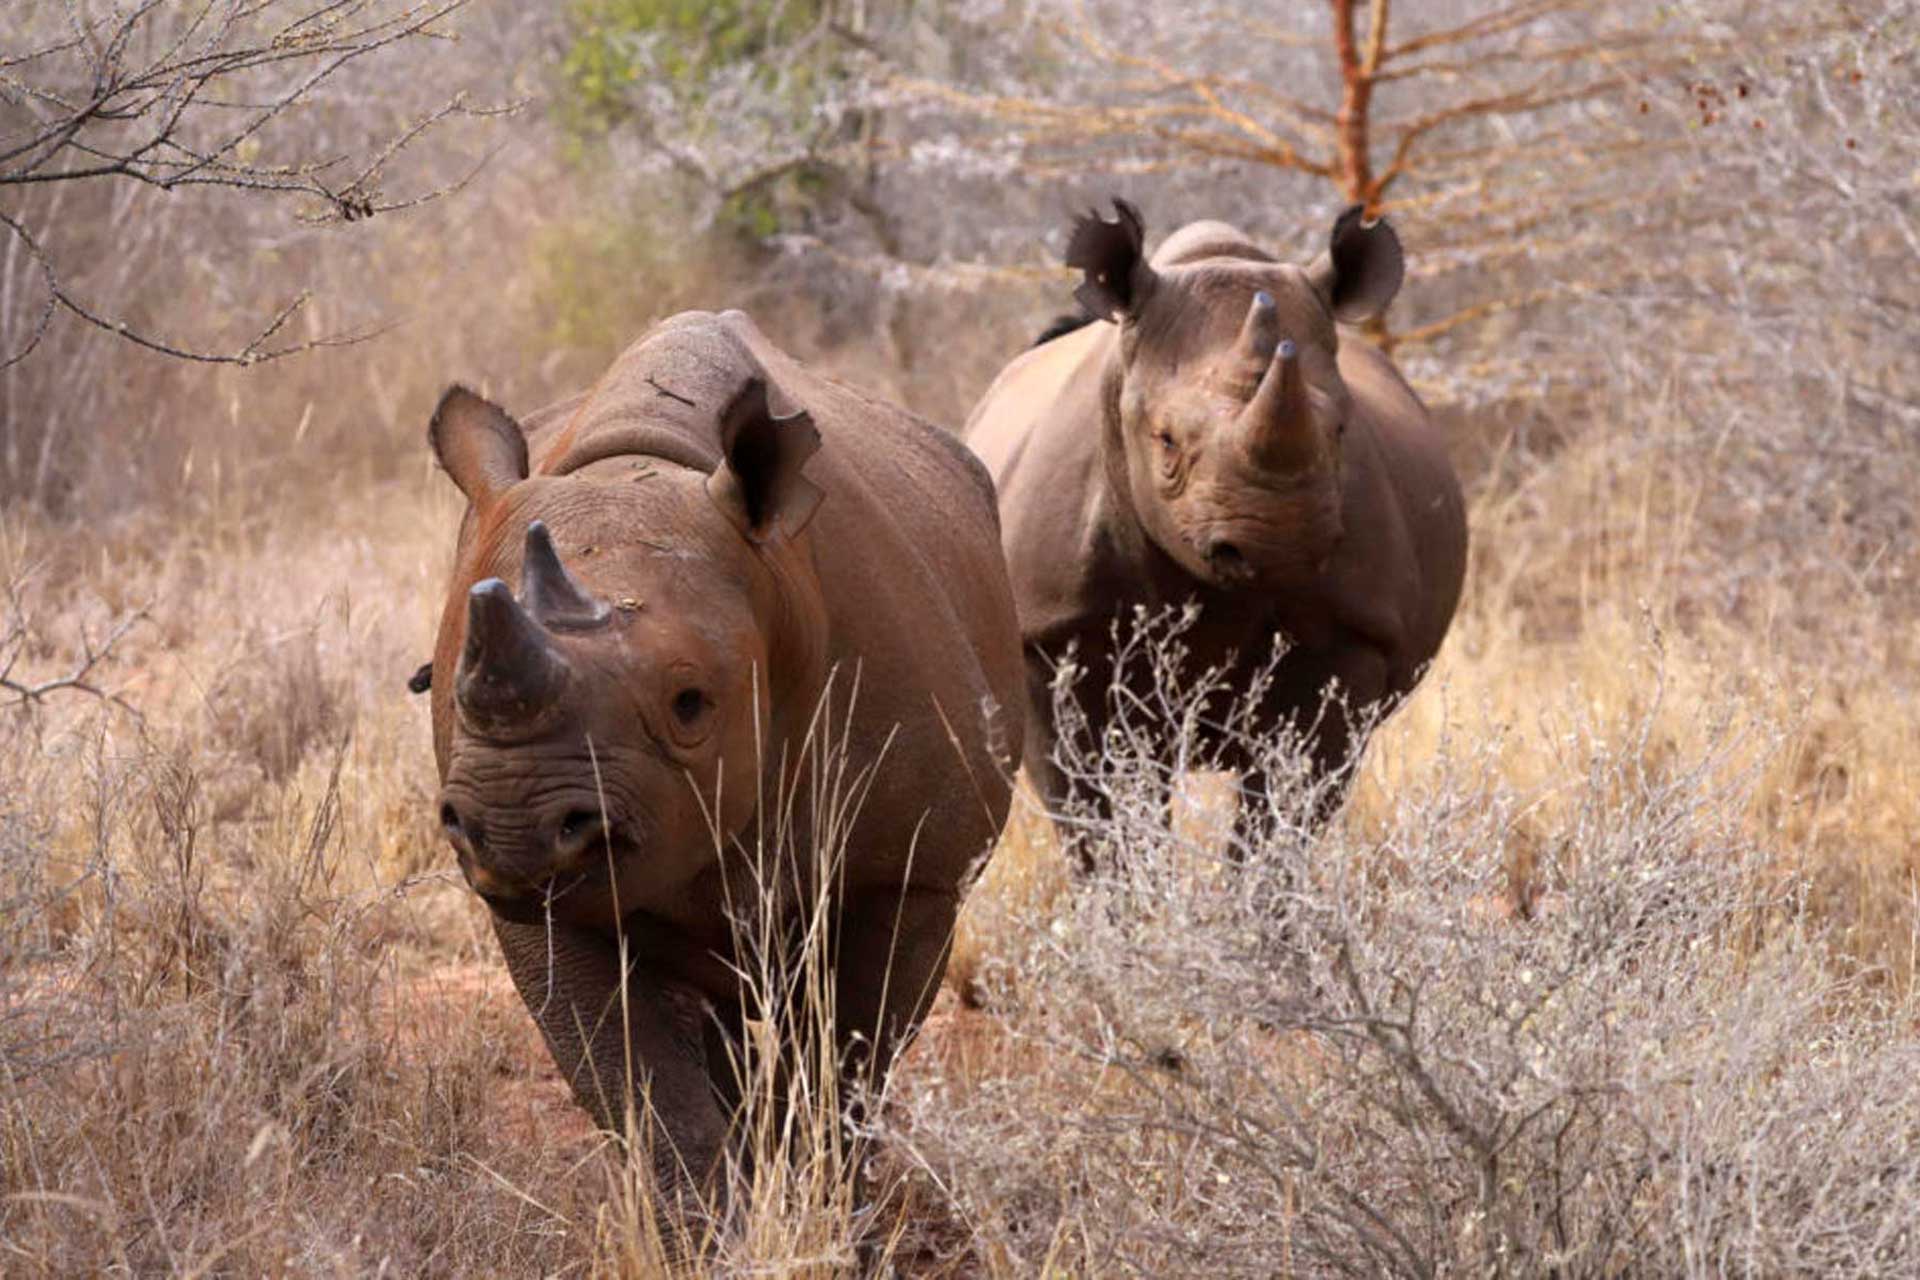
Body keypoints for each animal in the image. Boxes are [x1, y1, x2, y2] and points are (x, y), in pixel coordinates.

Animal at [424, 310, 1022, 1199]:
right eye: (454, 691)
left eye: (690, 705)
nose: (511, 828)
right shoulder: (552, 904)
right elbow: (639, 1088)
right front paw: (717, 1217)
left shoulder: (912, 873)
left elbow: (848, 1059)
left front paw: (819, 1202)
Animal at [966, 201, 1466, 855]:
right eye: (1166, 442)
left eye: (1338, 432)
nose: (1277, 541)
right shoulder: (1048, 636)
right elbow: (1097, 813)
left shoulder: (1355, 635)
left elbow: (1285, 812)